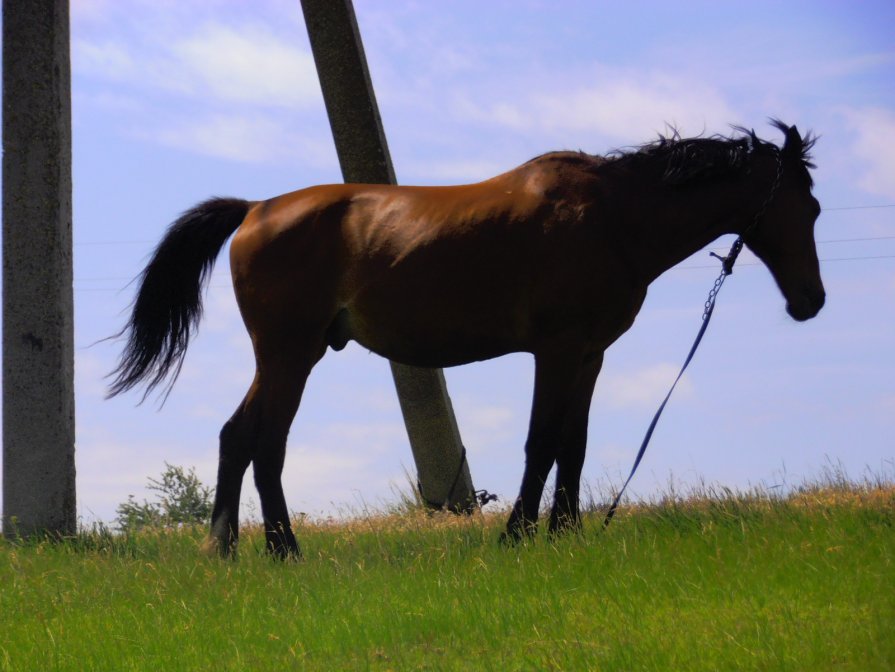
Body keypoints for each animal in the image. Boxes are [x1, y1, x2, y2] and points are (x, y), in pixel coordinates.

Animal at [110, 119, 824, 556]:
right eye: (810, 206)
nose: (811, 302)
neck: (610, 216)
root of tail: (255, 209)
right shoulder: (557, 351)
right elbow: (542, 443)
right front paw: (518, 535)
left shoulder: (589, 356)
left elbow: (574, 445)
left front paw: (565, 534)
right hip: (290, 356)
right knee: (267, 446)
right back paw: (284, 551)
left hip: (286, 357)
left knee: (237, 437)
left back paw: (227, 549)